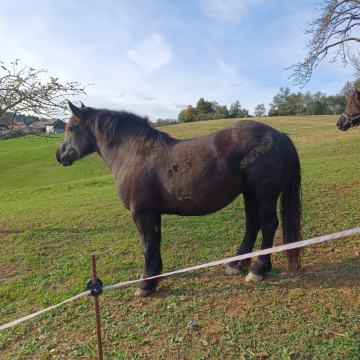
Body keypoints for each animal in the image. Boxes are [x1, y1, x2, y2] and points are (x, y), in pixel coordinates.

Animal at [56, 101, 302, 296]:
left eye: (69, 128)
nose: (59, 155)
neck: (134, 152)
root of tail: (280, 136)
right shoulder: (153, 214)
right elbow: (155, 243)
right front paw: (154, 278)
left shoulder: (142, 214)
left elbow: (148, 246)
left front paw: (145, 285)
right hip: (250, 194)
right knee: (252, 225)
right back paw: (236, 264)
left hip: (264, 195)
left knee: (268, 225)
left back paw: (258, 270)